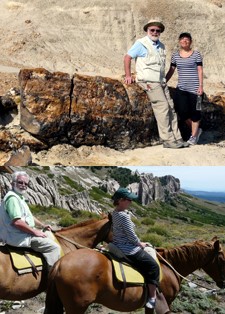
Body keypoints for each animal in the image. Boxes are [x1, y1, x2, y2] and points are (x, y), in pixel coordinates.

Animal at [44, 238, 225, 314]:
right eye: (222, 258)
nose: (223, 283)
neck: (170, 266)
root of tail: (60, 263)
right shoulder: (167, 301)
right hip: (77, 307)